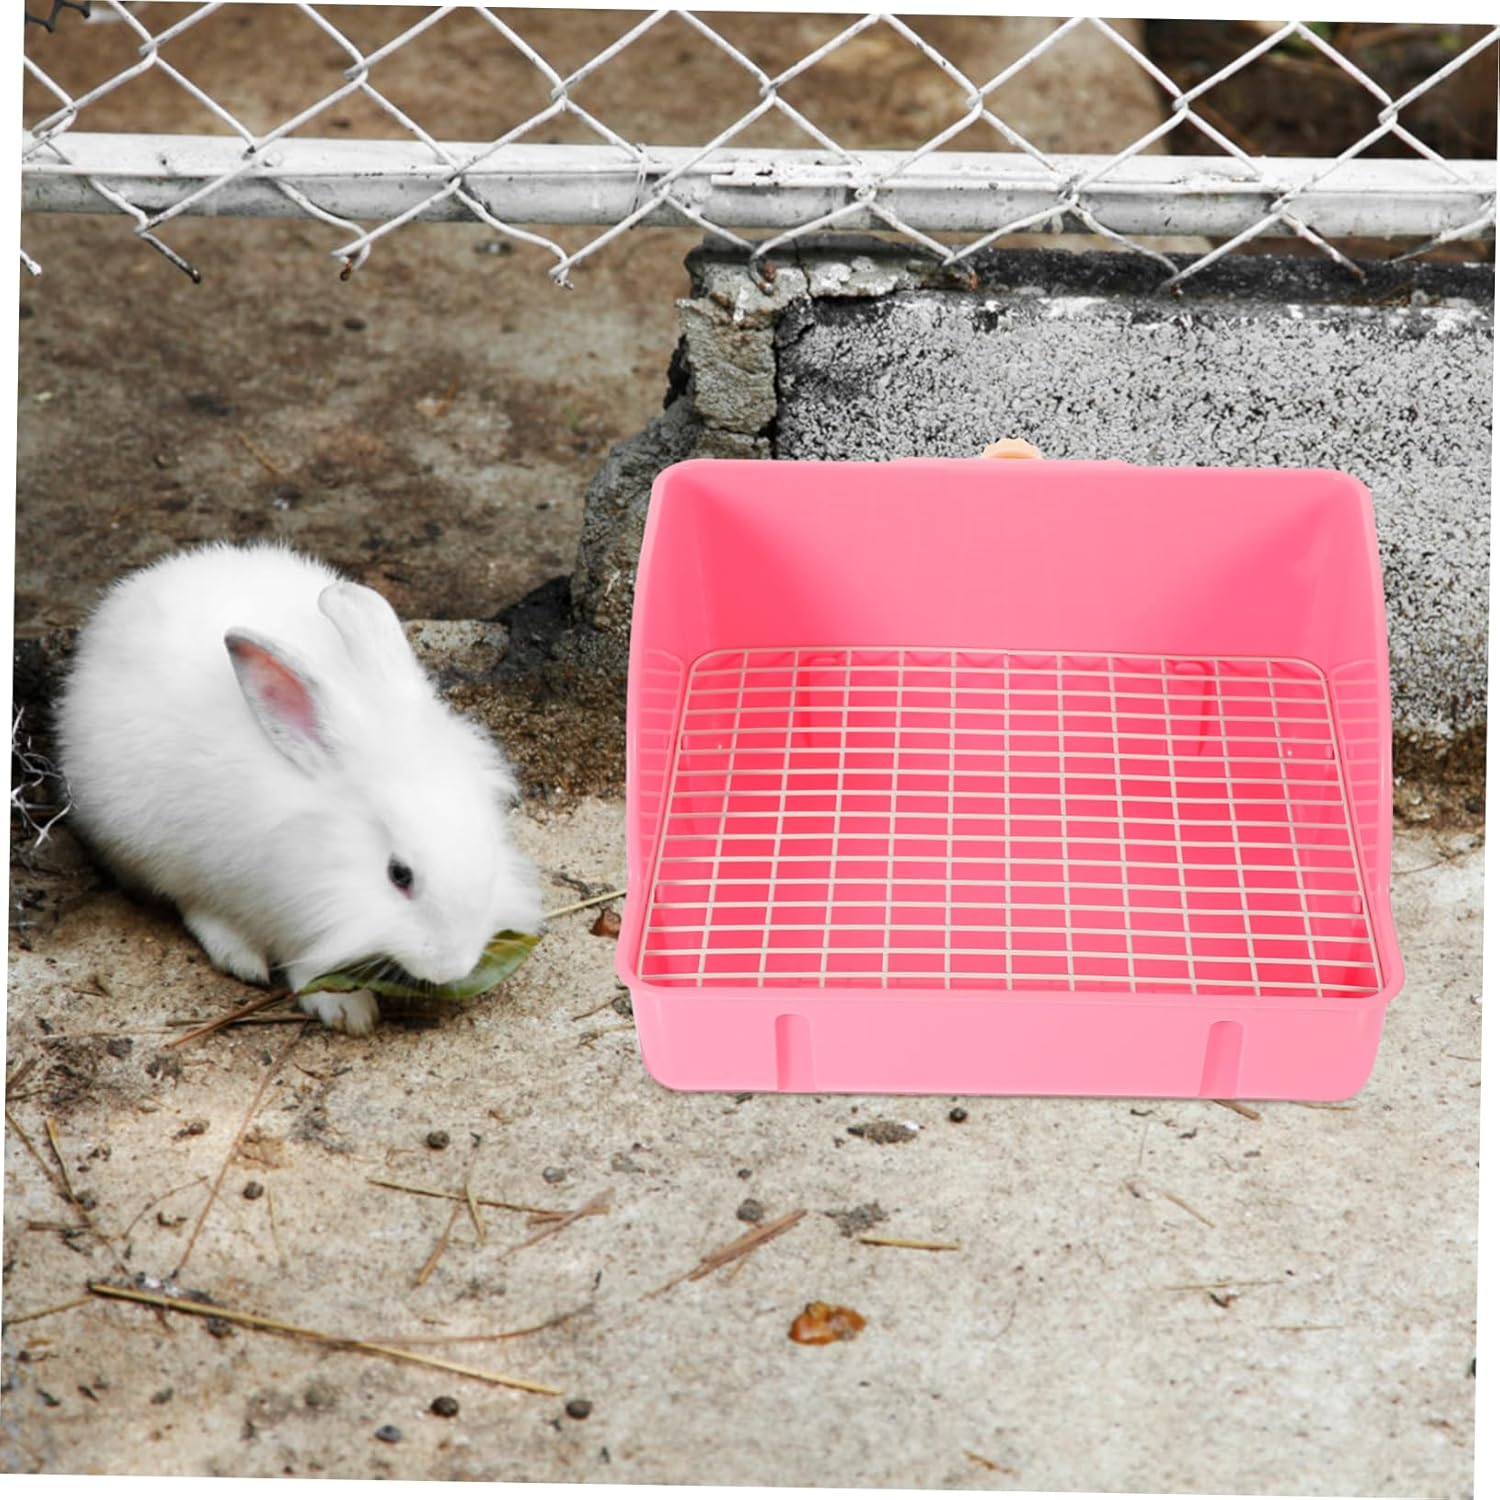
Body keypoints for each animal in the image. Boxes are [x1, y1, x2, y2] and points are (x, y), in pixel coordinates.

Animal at [55, 540, 542, 1034]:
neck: (325, 848)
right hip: (143, 843)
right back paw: (240, 955)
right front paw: (347, 1010)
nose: (452, 966)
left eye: (490, 847)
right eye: (398, 875)